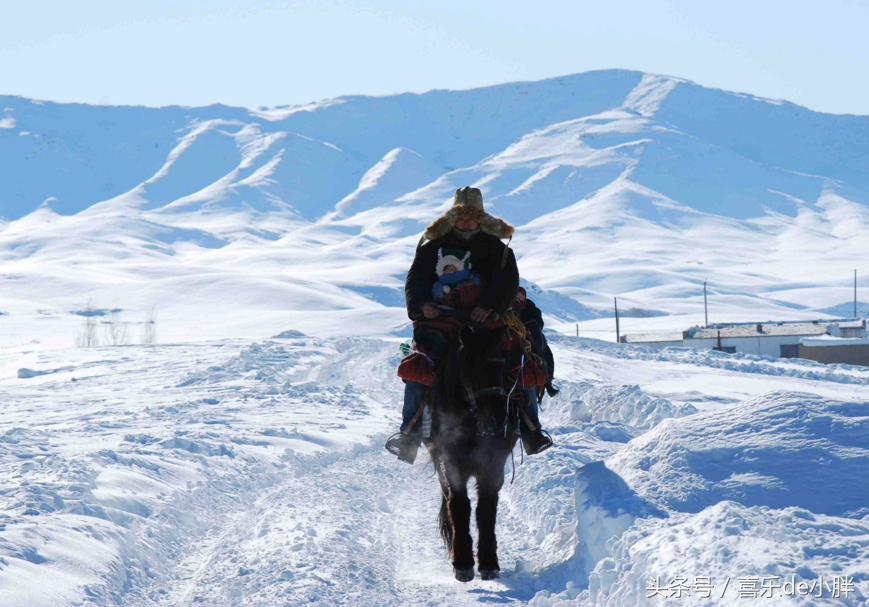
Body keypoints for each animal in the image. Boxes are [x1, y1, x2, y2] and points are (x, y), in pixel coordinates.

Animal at [424, 326, 520, 580]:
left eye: (501, 366)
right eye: (471, 366)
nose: (498, 419)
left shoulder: (493, 464)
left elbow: (486, 508)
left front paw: (488, 562)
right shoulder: (449, 462)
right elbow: (459, 505)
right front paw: (463, 562)